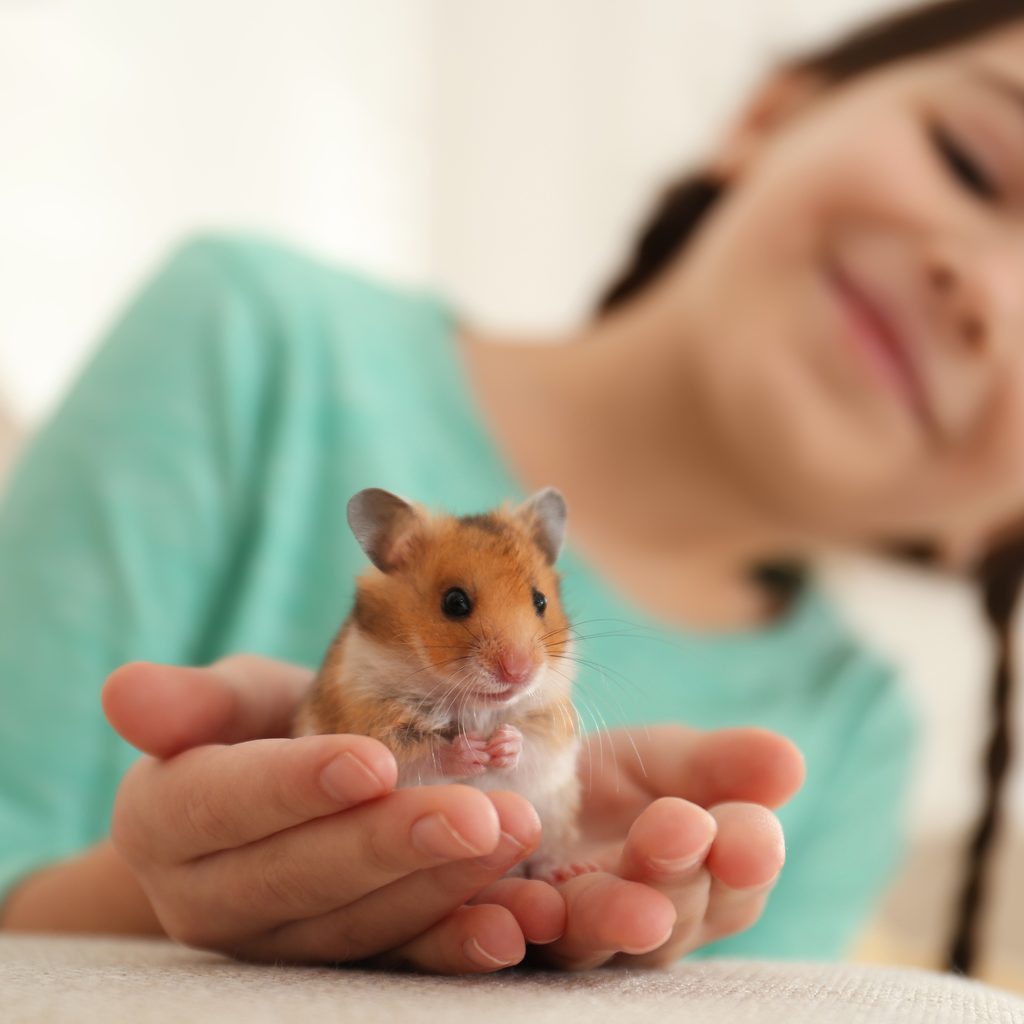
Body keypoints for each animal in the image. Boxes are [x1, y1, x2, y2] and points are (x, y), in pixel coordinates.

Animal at [292, 486, 593, 883]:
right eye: (454, 602)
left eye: (540, 601)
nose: (519, 672)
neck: (476, 704)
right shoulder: (370, 715)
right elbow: (422, 754)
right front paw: (473, 751)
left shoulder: (552, 723)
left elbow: (531, 742)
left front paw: (501, 744)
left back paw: (569, 870)